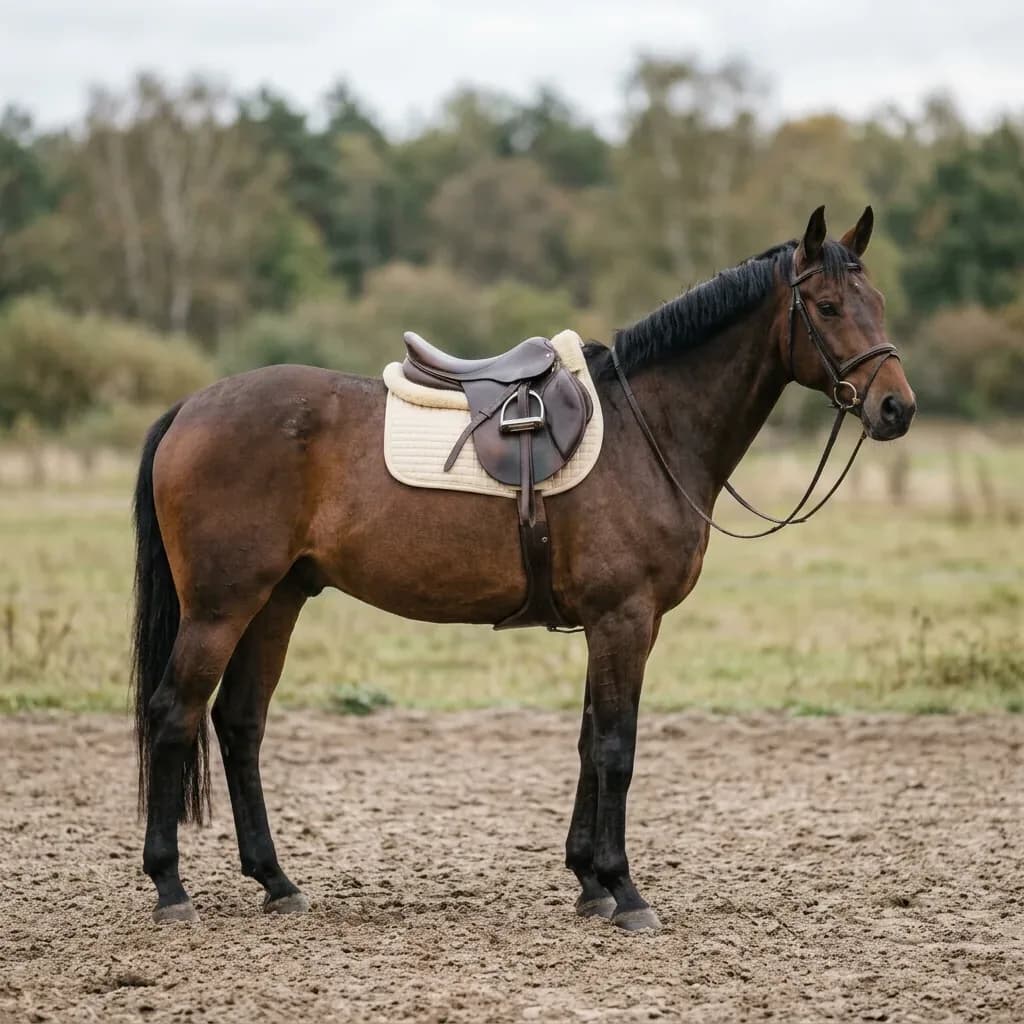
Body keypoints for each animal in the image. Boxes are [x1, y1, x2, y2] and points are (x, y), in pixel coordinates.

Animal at [131, 205, 915, 929]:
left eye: (877, 301)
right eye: (827, 306)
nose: (896, 408)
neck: (647, 430)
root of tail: (190, 408)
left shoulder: (614, 623)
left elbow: (590, 741)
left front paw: (590, 881)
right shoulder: (624, 618)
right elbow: (617, 747)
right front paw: (625, 890)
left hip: (277, 600)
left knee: (239, 722)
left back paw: (276, 881)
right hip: (221, 607)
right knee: (174, 715)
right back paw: (171, 887)